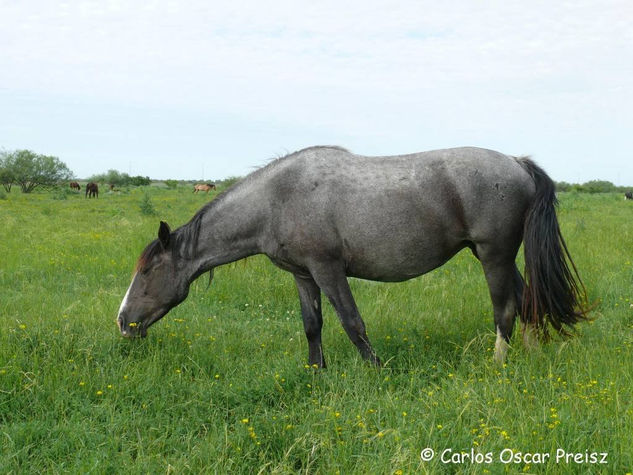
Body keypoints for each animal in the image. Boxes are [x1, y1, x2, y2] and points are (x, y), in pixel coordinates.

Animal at [117, 147, 588, 366]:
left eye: (148, 272)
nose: (123, 323)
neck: (276, 200)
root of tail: (518, 163)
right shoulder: (303, 275)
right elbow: (312, 325)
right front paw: (316, 372)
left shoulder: (329, 271)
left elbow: (352, 323)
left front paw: (378, 370)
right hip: (497, 257)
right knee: (527, 303)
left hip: (493, 256)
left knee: (505, 309)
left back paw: (497, 365)